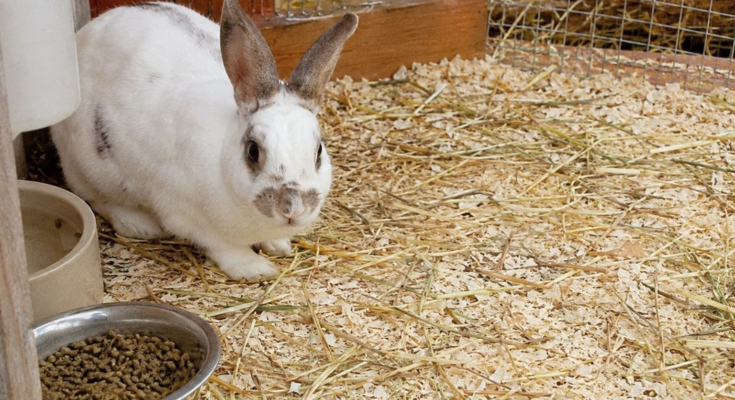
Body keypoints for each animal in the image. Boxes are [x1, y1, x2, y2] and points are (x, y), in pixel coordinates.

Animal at [50, 0, 358, 280]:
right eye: (253, 151)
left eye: (318, 152)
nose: (292, 209)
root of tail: (84, 34)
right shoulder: (185, 214)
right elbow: (222, 247)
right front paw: (255, 269)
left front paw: (279, 246)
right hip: (89, 168)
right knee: (96, 199)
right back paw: (140, 225)